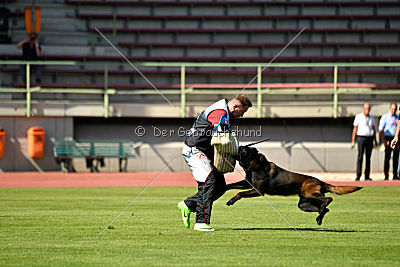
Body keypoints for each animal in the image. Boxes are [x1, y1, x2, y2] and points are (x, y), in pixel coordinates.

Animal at [225, 147, 362, 226]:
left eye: (243, 149)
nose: (239, 146)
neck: (255, 164)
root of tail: (320, 181)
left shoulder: (258, 191)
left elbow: (240, 193)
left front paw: (231, 201)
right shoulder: (247, 183)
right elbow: (232, 185)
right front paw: (224, 187)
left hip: (309, 195)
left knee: (329, 199)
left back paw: (321, 212)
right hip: (304, 204)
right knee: (325, 209)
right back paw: (319, 217)